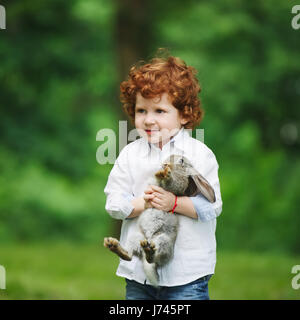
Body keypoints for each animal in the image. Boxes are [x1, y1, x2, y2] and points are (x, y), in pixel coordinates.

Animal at [103, 154, 216, 286]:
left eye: (182, 160)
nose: (165, 164)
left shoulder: (177, 184)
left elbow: (171, 182)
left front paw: (165, 174)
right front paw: (160, 173)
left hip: (163, 241)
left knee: (153, 258)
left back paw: (148, 251)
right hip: (135, 238)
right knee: (129, 256)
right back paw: (113, 245)